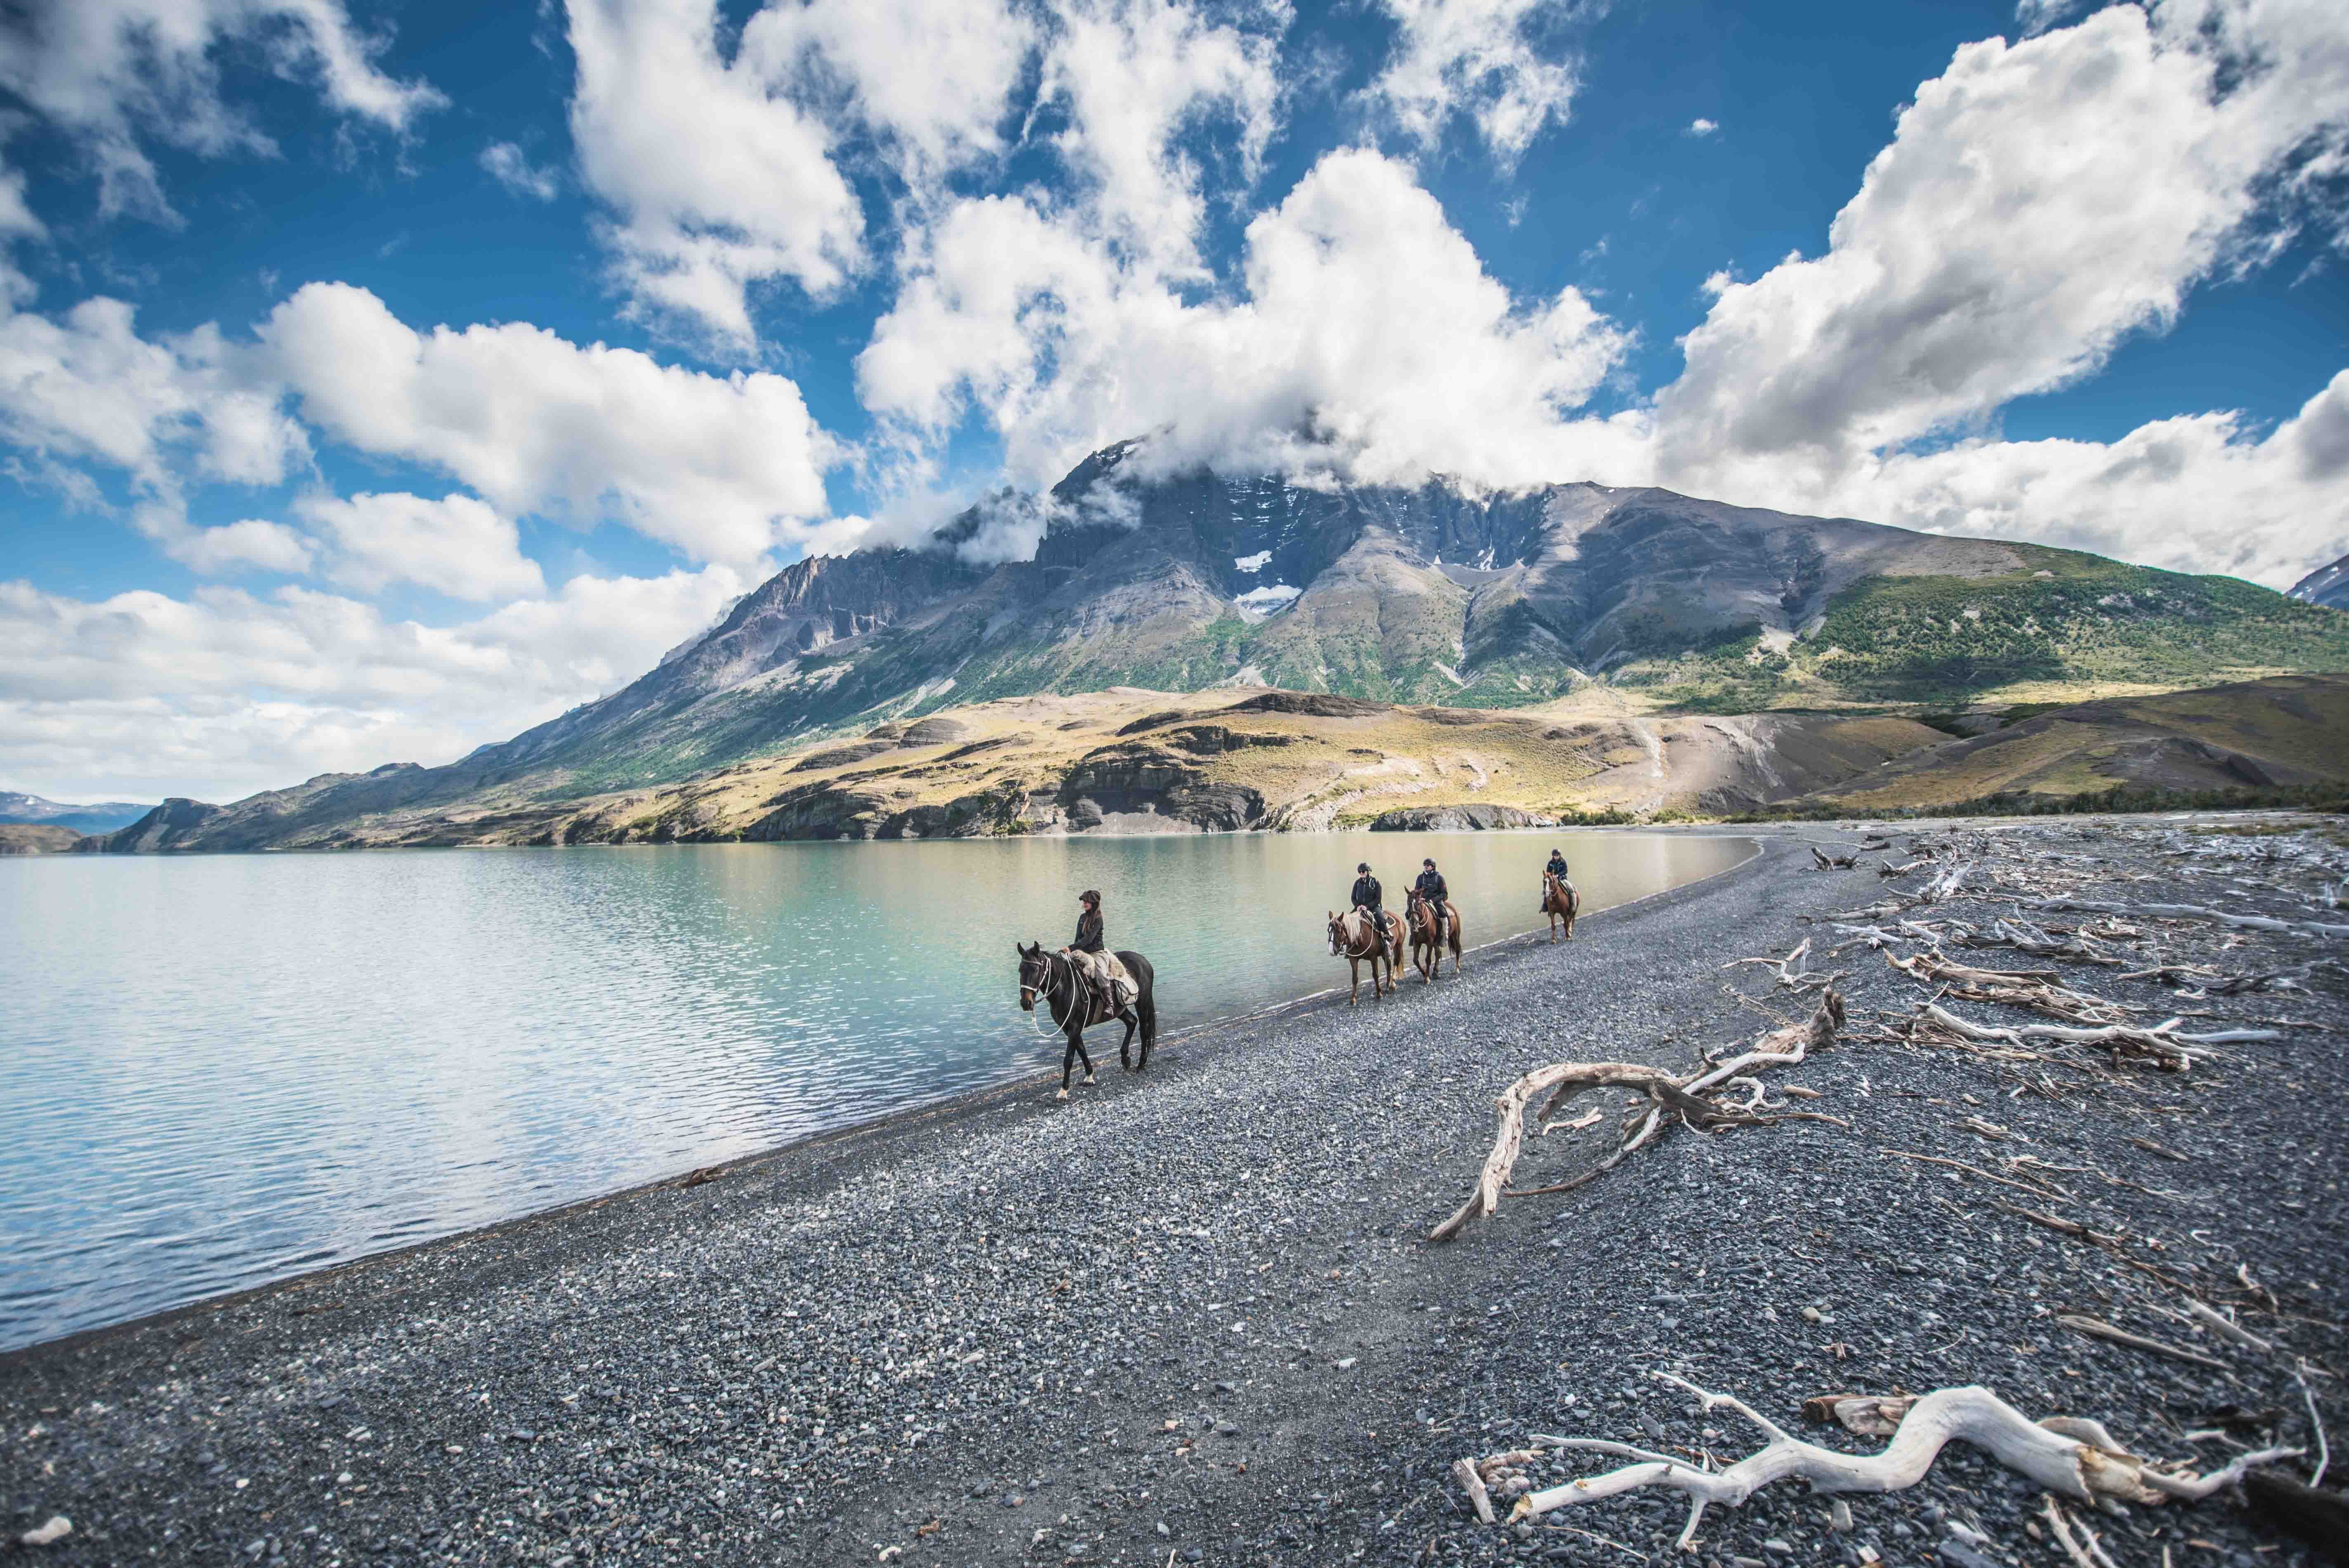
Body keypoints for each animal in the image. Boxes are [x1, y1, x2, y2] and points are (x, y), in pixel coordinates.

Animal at [1014, 943, 1160, 1103]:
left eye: (1035, 970)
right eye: (1020, 970)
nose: (1026, 1003)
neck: (1065, 987)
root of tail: (1144, 961)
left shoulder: (1075, 1027)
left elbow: (1069, 1058)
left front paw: (1063, 1091)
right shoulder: (1069, 1028)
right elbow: (1082, 1051)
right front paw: (1089, 1077)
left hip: (1143, 1002)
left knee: (1144, 1029)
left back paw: (1141, 1064)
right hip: (1120, 1010)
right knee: (1132, 1022)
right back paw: (1125, 1059)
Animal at [1325, 906, 1390, 1004]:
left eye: (1338, 931)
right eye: (1329, 931)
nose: (1332, 951)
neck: (1359, 938)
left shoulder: (1373, 958)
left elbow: (1375, 975)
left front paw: (1379, 994)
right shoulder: (1353, 959)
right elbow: (1354, 979)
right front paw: (1353, 999)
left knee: (1389, 965)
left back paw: (1390, 986)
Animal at [1400, 892, 1456, 981]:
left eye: (1418, 903)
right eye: (1408, 903)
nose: (1414, 921)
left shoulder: (1430, 943)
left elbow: (1428, 959)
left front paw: (1427, 978)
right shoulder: (1417, 942)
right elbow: (1416, 960)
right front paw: (1425, 974)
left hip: (1455, 935)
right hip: (1436, 942)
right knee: (1438, 953)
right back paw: (1435, 972)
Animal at [1541, 868, 1578, 943]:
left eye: (1552, 881)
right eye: (1544, 881)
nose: (1547, 895)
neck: (1556, 899)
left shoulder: (1564, 912)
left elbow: (1566, 924)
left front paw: (1567, 937)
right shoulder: (1552, 913)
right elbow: (1553, 926)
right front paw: (1554, 940)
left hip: (1573, 911)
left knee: (1571, 920)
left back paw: (1570, 932)